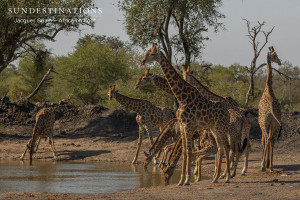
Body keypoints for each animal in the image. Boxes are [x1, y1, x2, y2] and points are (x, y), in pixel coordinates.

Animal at [141, 43, 232, 184]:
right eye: (146, 52)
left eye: (151, 53)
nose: (142, 61)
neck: (182, 97)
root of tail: (227, 111)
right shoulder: (184, 125)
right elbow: (184, 151)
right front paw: (181, 180)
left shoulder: (188, 125)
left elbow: (188, 151)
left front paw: (187, 179)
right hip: (214, 129)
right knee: (221, 148)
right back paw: (216, 178)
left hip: (221, 127)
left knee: (226, 147)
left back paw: (226, 177)